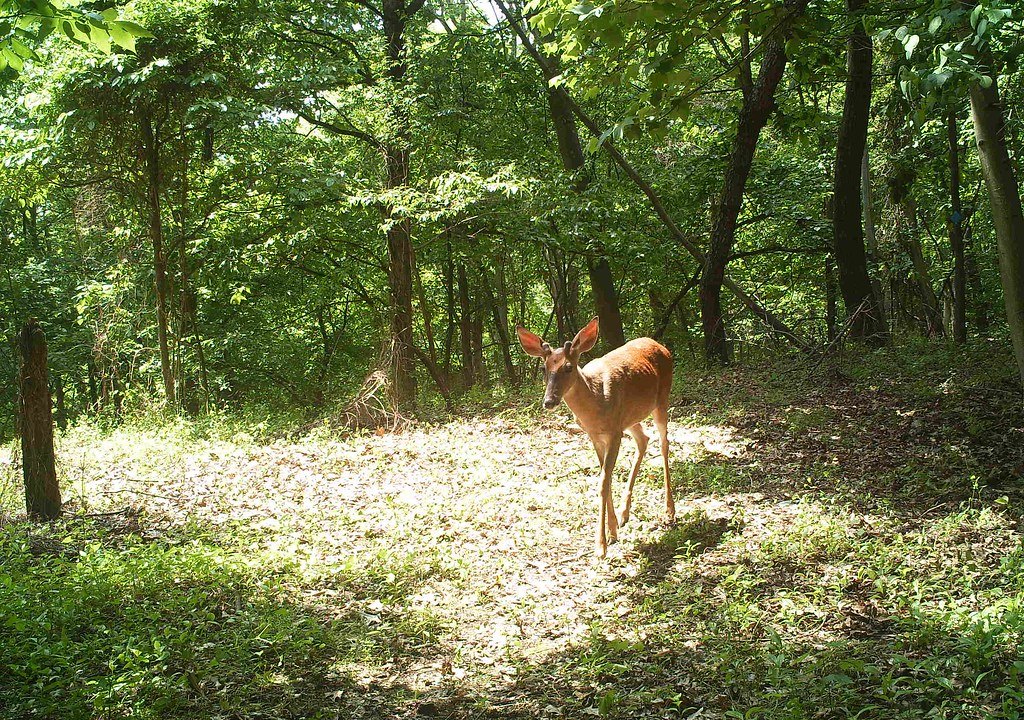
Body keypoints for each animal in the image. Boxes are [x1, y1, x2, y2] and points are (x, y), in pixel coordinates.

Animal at [516, 316, 675, 558]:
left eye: (568, 367)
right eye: (544, 368)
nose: (549, 401)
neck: (596, 399)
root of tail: (661, 346)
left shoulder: (614, 433)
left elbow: (603, 482)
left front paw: (600, 546)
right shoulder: (596, 435)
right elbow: (605, 478)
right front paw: (613, 531)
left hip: (661, 400)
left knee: (664, 443)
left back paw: (669, 511)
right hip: (630, 419)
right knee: (643, 439)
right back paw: (625, 513)